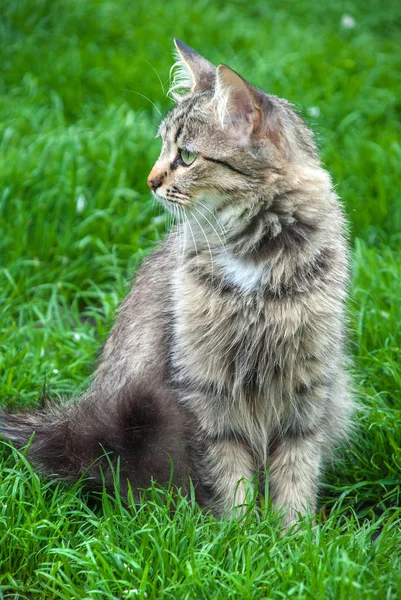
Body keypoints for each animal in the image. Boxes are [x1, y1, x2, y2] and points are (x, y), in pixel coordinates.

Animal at [0, 39, 352, 528]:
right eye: (163, 147)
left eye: (186, 156)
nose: (150, 181)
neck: (254, 254)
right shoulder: (206, 386)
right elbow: (230, 476)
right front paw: (239, 534)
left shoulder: (308, 384)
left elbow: (296, 473)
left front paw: (293, 536)